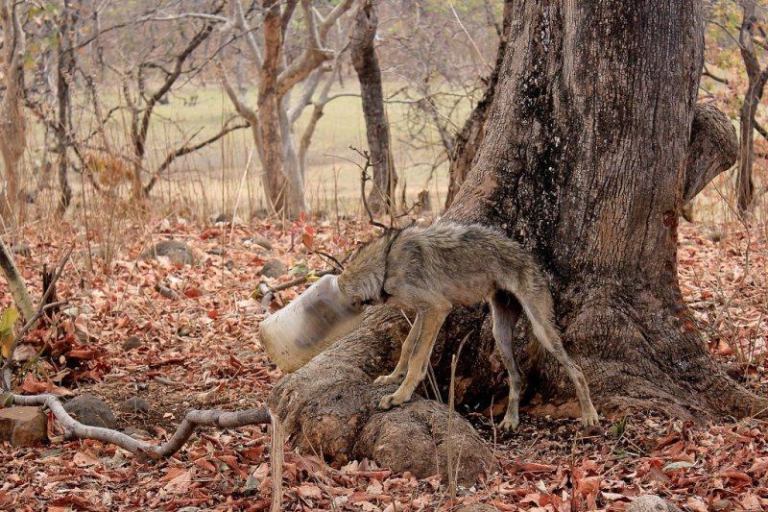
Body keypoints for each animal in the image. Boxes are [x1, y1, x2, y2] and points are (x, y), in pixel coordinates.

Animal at [338, 222, 600, 430]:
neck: (387, 262)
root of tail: (531, 259)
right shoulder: (425, 312)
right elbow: (408, 346)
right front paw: (393, 377)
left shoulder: (437, 308)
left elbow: (416, 357)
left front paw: (399, 396)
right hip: (500, 335)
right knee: (517, 377)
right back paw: (510, 420)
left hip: (542, 331)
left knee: (576, 370)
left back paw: (589, 416)